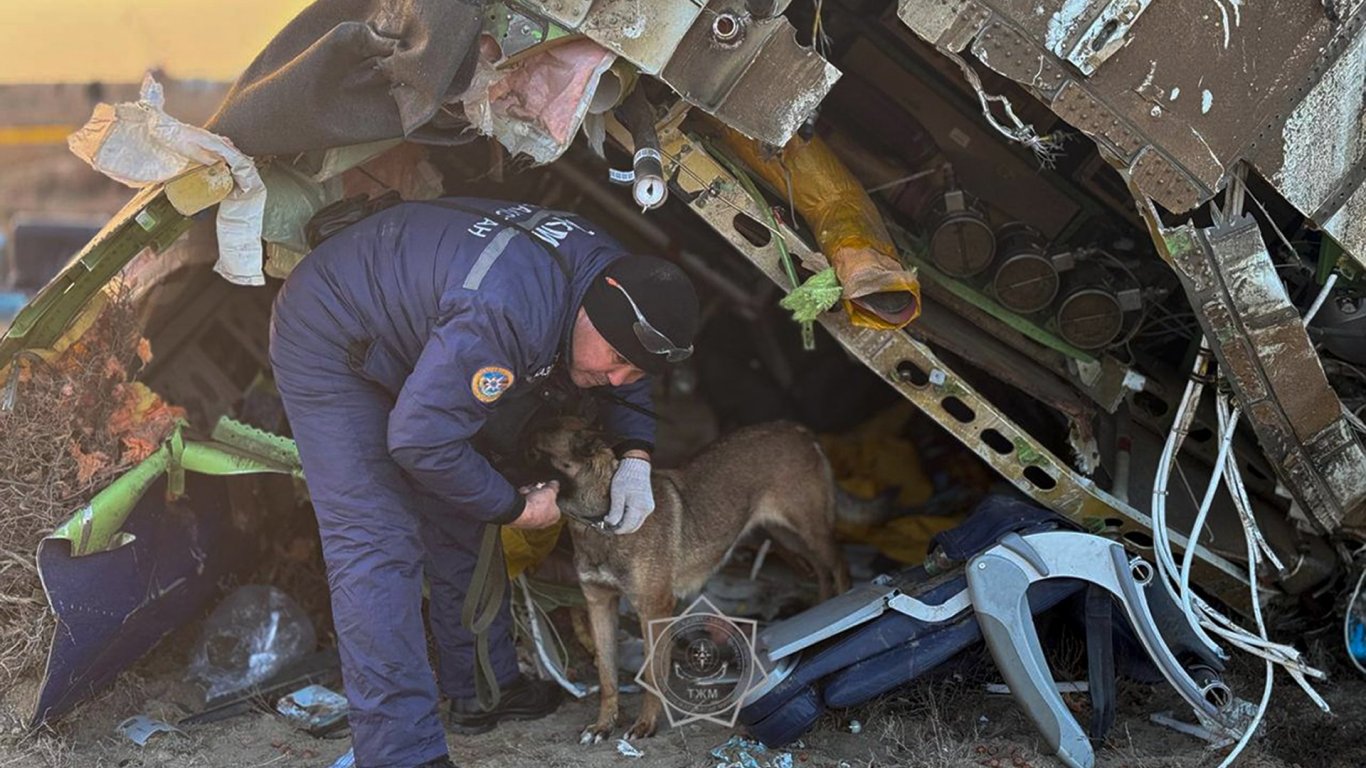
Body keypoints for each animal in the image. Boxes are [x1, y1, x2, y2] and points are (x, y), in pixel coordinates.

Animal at [530, 418, 841, 743]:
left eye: (533, 453)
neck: (601, 522)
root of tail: (796, 428)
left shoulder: (654, 608)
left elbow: (653, 673)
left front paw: (646, 724)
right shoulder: (599, 603)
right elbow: (607, 674)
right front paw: (603, 725)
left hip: (809, 530)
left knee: (838, 563)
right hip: (785, 535)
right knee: (820, 570)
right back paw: (823, 605)